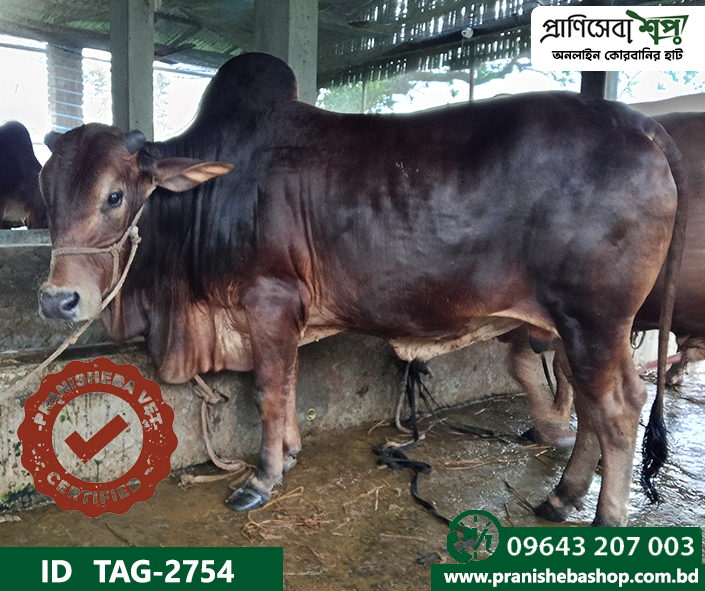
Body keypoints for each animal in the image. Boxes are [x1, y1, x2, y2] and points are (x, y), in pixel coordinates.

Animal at [37, 53, 686, 527]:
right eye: (46, 195)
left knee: (617, 410)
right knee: (590, 405)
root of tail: (644, 126)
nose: (55, 300)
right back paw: (561, 497)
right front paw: (289, 453)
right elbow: (287, 387)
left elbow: (269, 389)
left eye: (115, 195)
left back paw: (604, 521)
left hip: (593, 320)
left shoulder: (269, 301)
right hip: (573, 328)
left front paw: (262, 478)